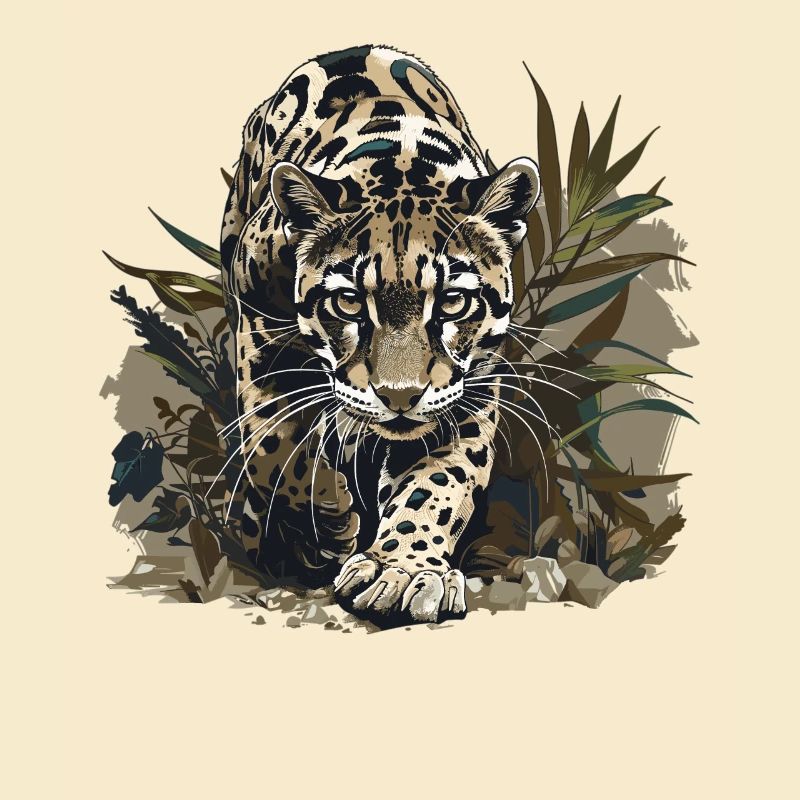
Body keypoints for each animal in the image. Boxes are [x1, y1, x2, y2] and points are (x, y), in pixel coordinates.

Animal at [220, 44, 540, 626]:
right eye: (348, 301)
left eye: (453, 302)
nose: (399, 397)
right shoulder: (257, 324)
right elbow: (276, 444)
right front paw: (330, 521)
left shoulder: (470, 385)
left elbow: (439, 480)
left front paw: (403, 571)